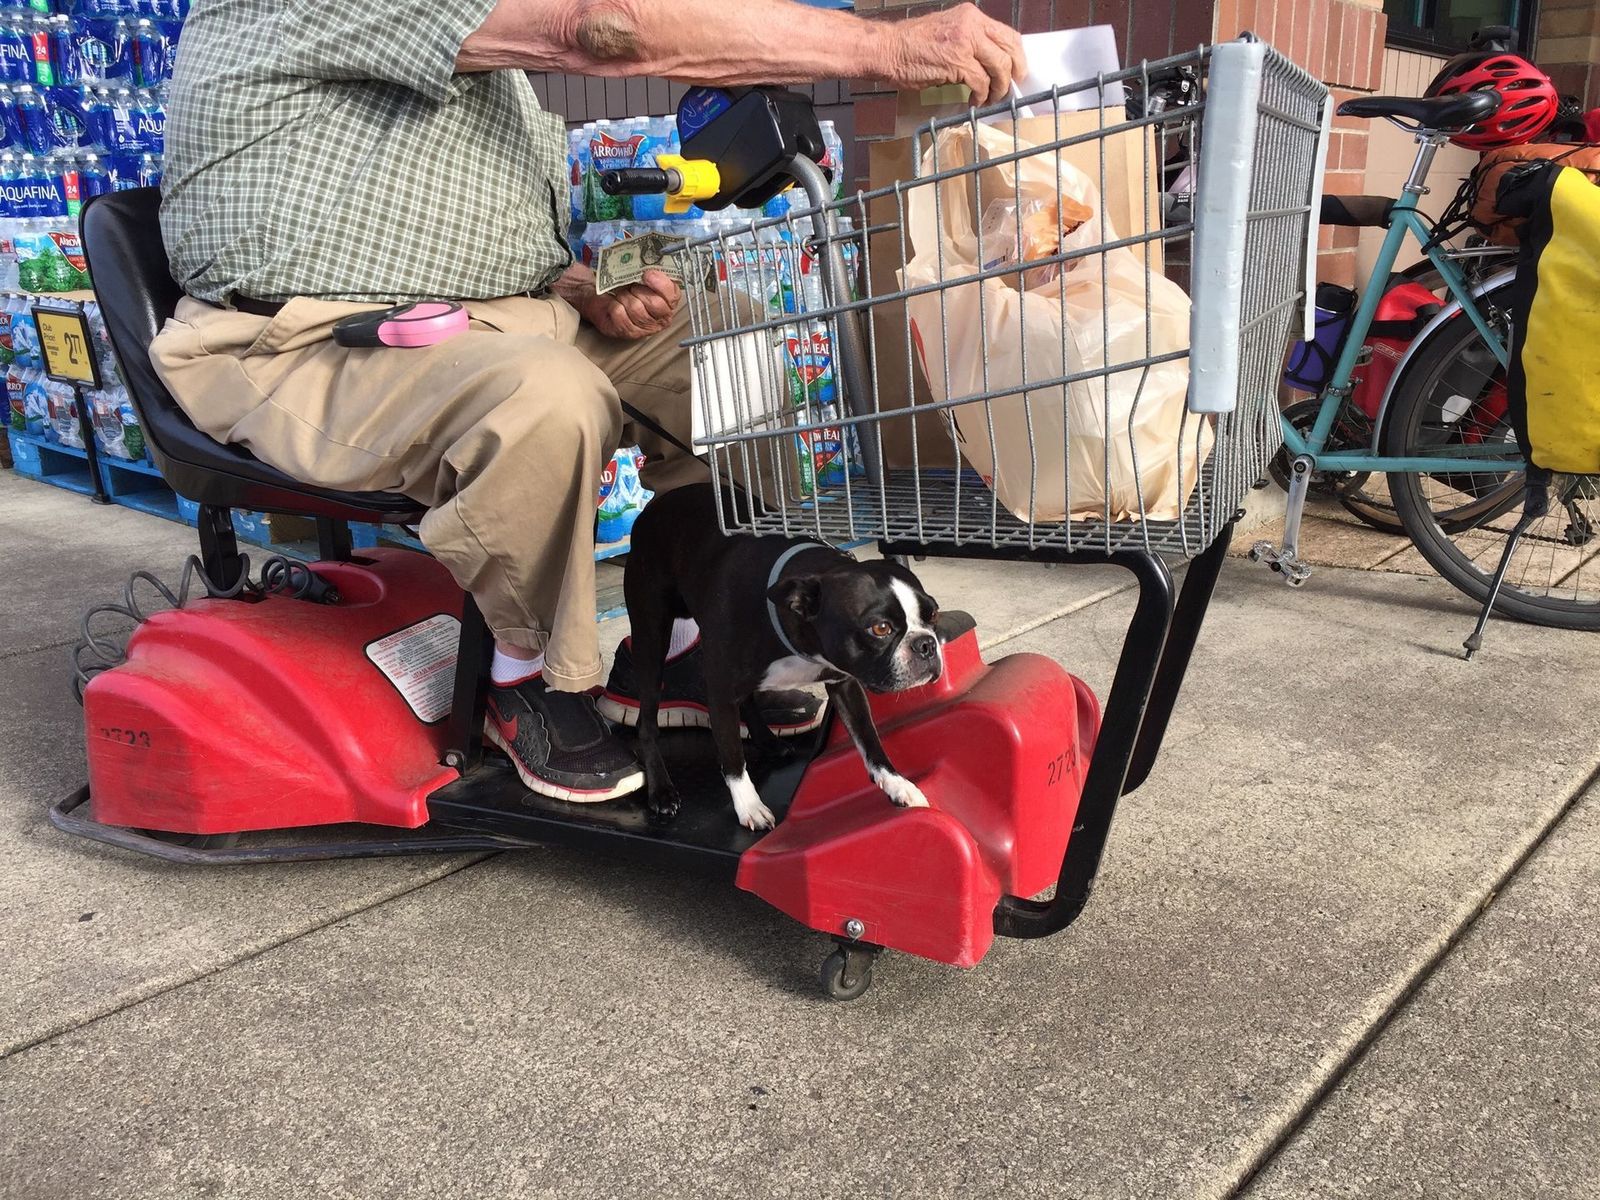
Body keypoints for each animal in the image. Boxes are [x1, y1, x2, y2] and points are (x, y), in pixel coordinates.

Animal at [620, 483, 944, 831]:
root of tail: (654, 506)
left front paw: (897, 783)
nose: (927, 645)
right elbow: (731, 755)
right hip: (651, 640)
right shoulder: (719, 691)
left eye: (933, 614)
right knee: (646, 722)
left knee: (747, 697)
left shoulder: (845, 684)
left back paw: (767, 741)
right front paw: (749, 806)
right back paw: (661, 790)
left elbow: (869, 738)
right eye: (880, 628)